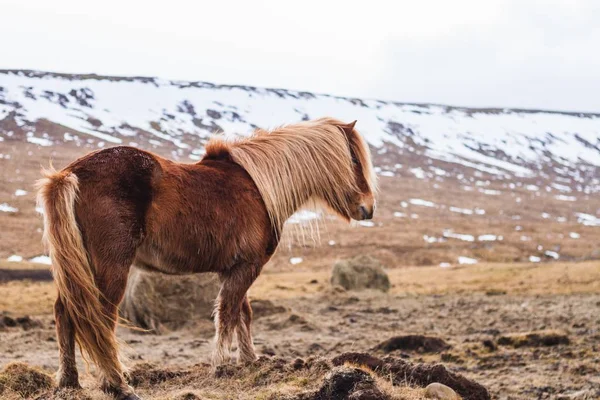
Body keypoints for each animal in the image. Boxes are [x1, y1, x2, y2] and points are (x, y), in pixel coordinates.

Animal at [36, 117, 376, 398]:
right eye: (354, 159)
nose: (369, 208)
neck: (259, 187)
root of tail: (69, 174)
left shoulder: (234, 269)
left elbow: (242, 314)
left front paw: (250, 361)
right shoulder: (248, 267)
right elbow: (227, 314)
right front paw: (222, 366)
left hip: (78, 268)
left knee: (65, 313)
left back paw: (69, 382)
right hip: (111, 266)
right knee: (100, 319)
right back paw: (117, 385)